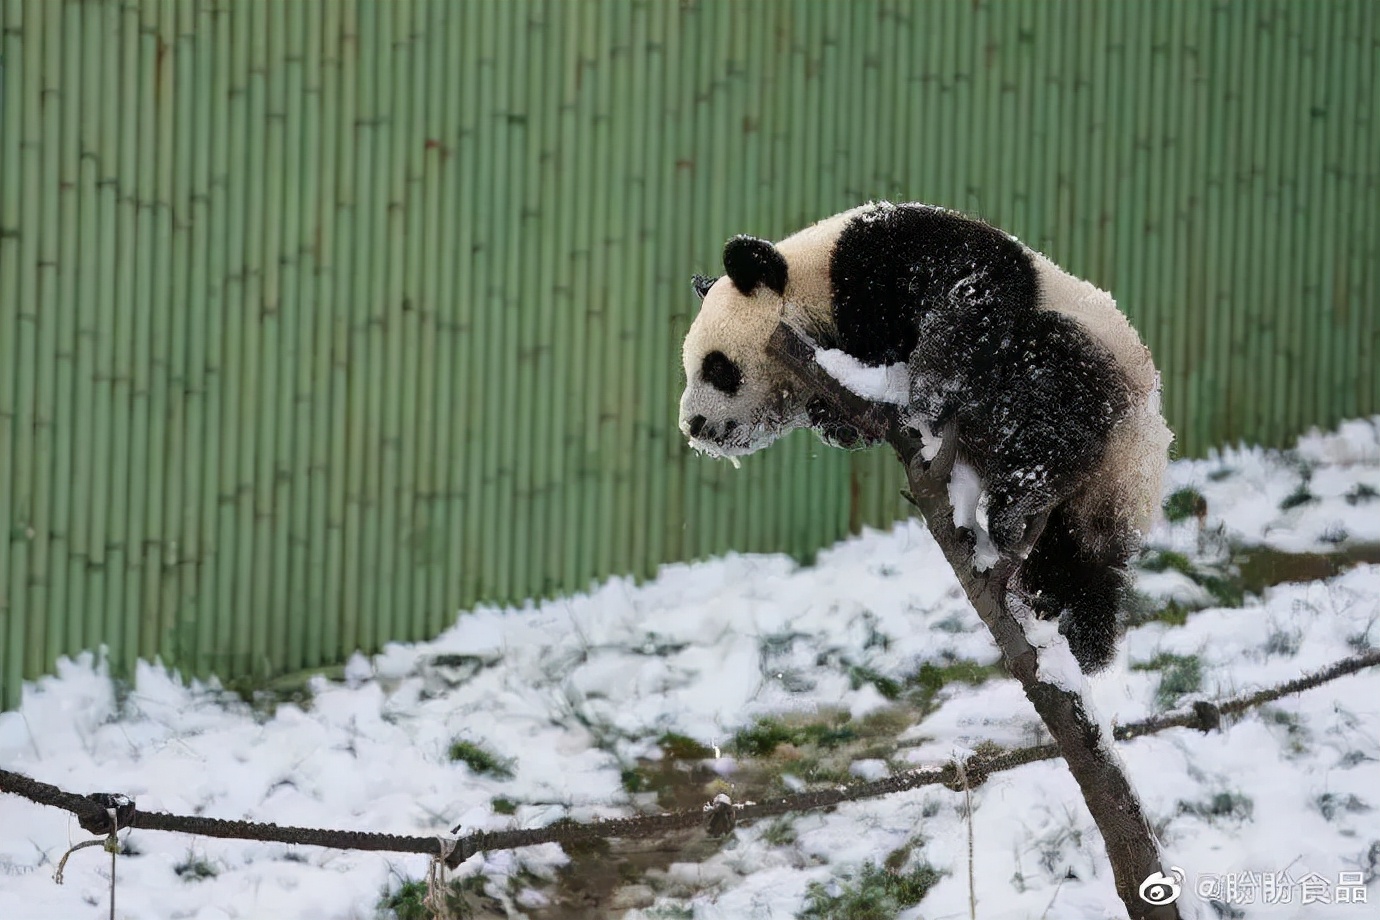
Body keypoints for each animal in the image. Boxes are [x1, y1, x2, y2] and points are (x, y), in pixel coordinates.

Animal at [678, 201, 1175, 670]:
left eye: (718, 368)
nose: (693, 425)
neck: (814, 285)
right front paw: (837, 420)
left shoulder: (882, 255)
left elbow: (974, 288)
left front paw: (925, 395)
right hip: (1090, 504)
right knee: (1074, 559)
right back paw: (1075, 627)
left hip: (1091, 376)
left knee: (1051, 400)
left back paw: (1018, 500)